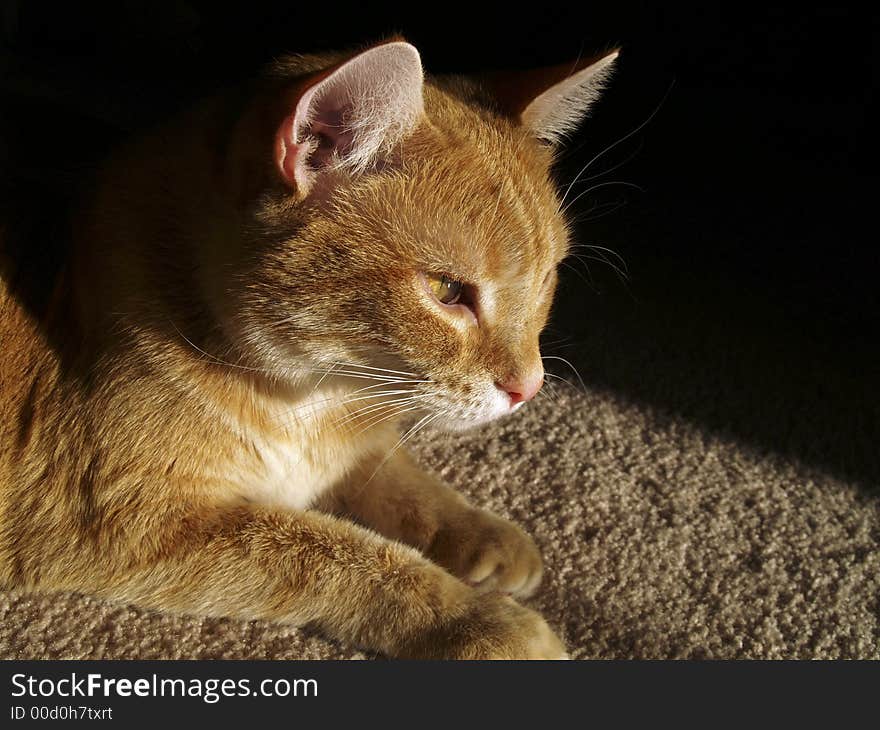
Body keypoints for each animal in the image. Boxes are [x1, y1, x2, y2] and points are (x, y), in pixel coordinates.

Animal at [0, 37, 620, 656]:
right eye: (447, 291)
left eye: (546, 278)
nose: (529, 388)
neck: (310, 397)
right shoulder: (115, 520)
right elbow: (334, 553)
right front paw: (477, 617)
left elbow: (395, 474)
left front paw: (477, 530)